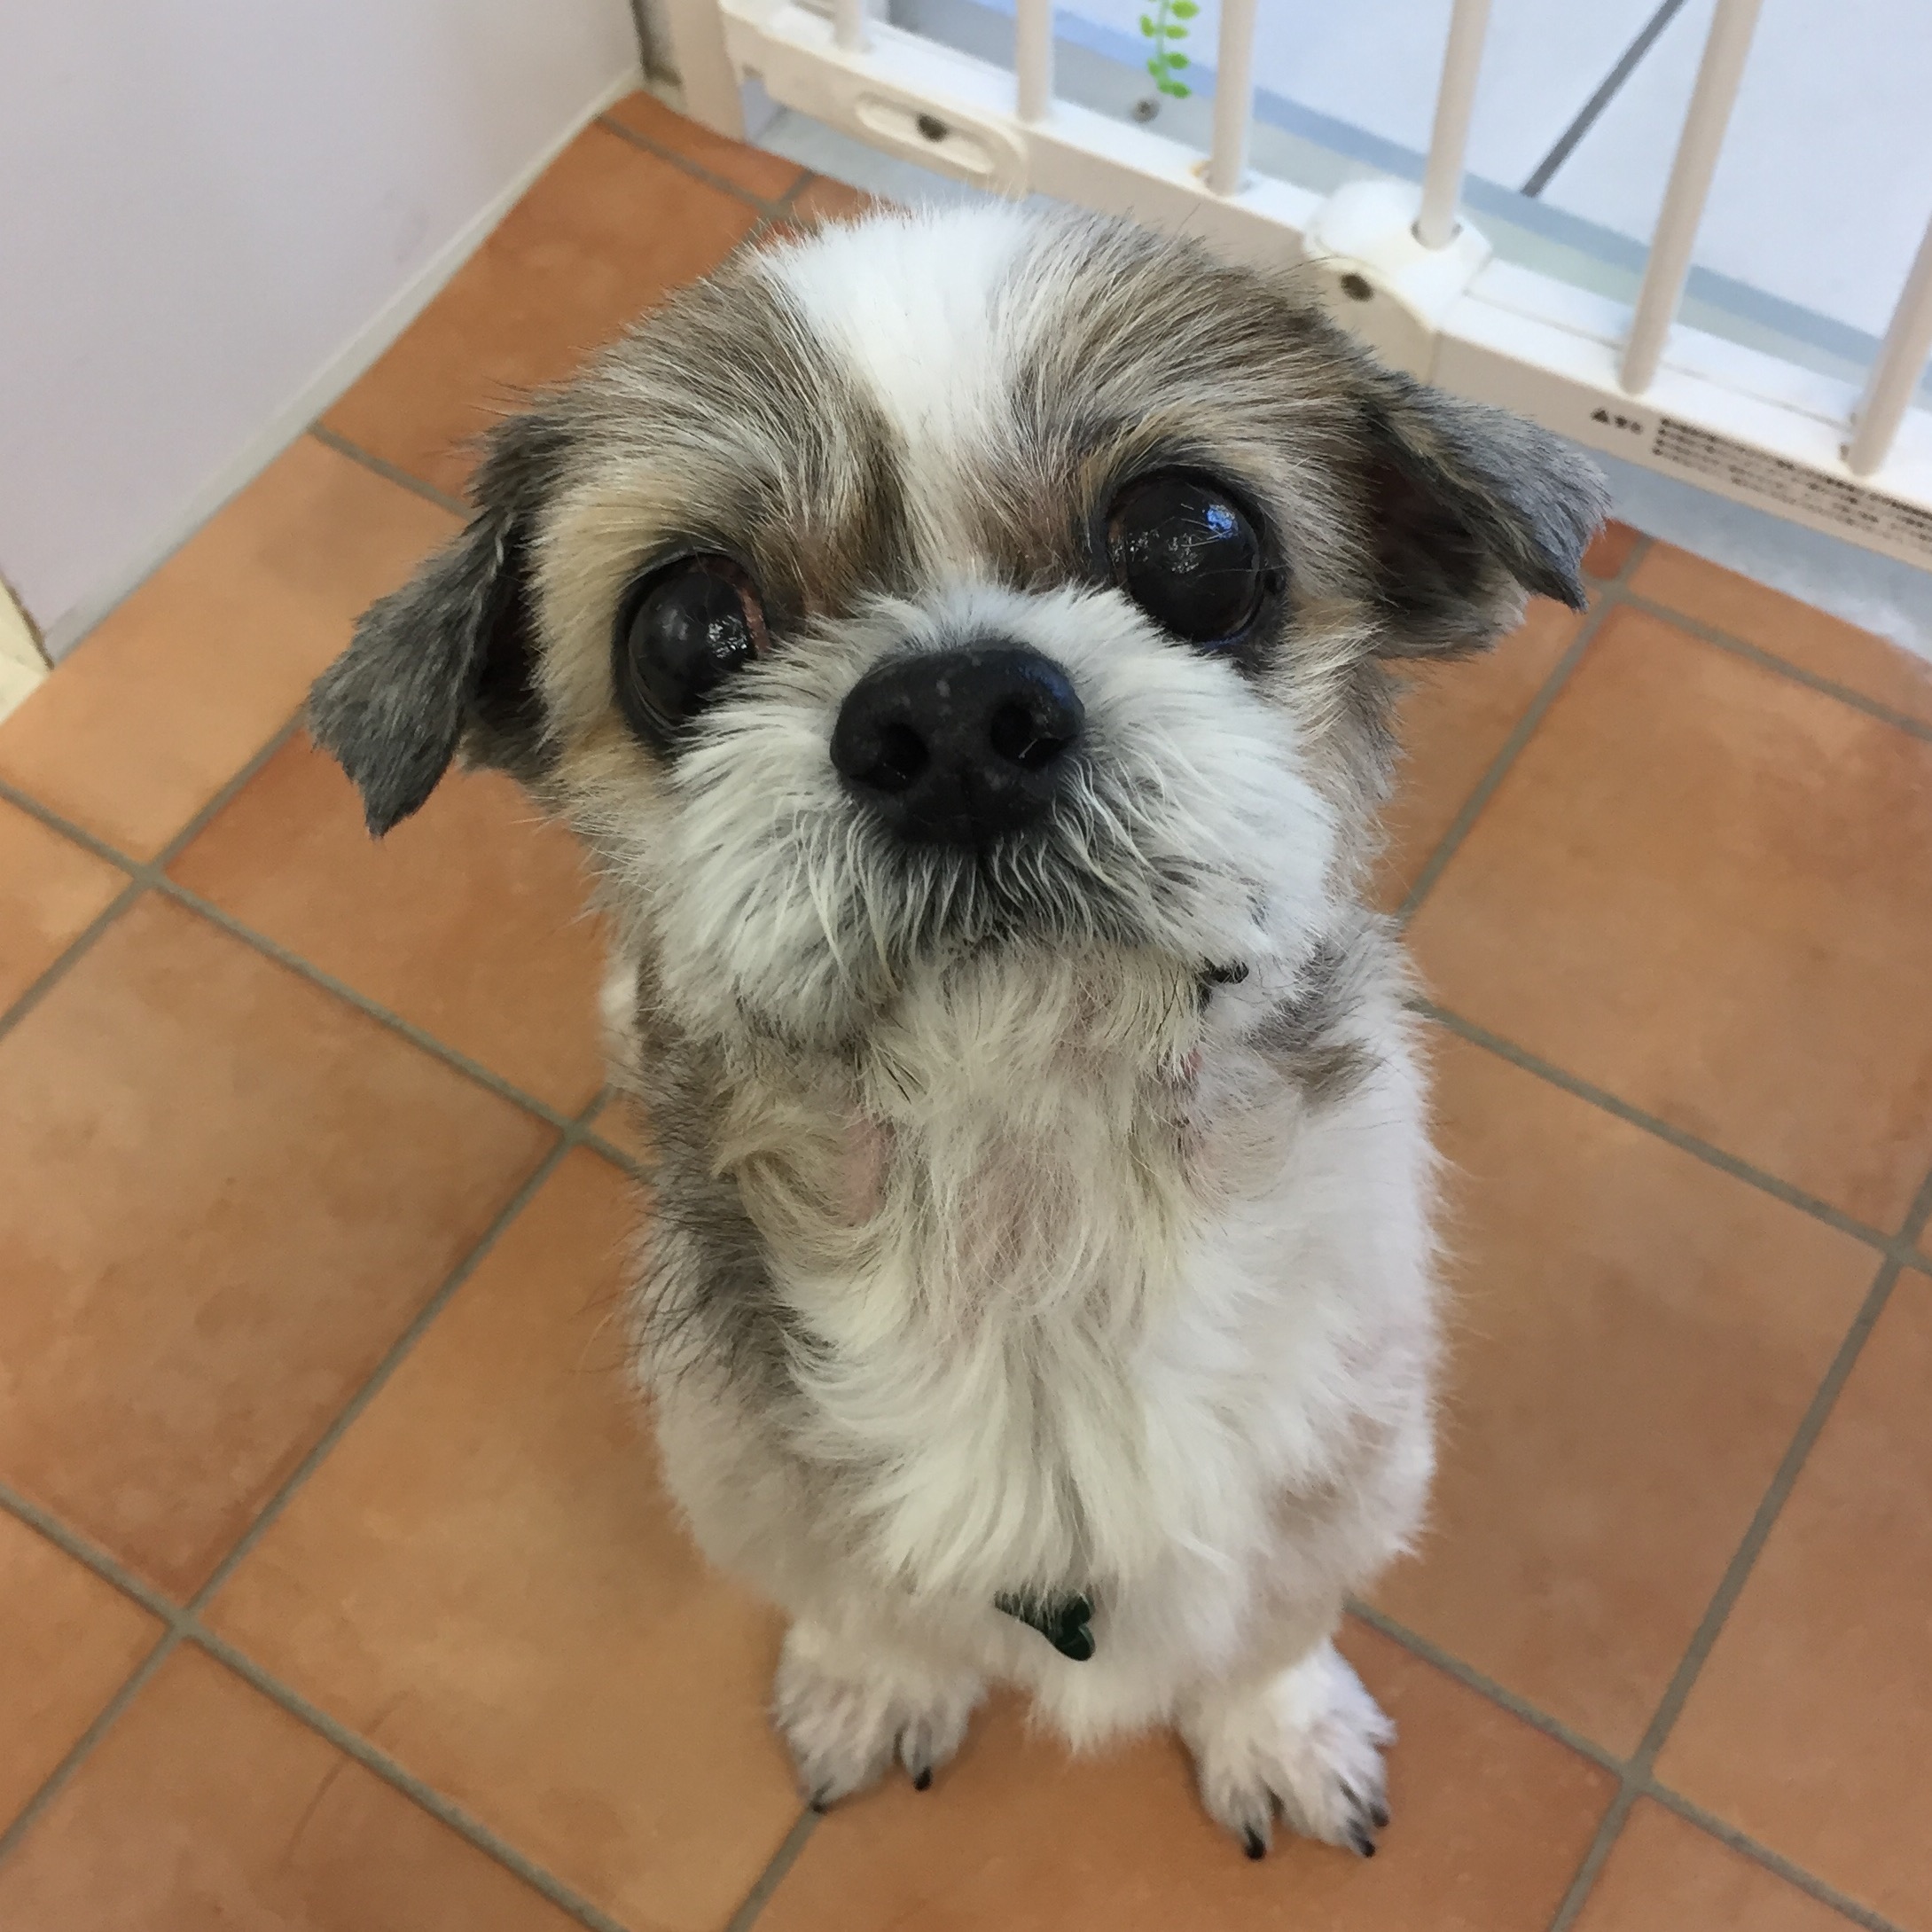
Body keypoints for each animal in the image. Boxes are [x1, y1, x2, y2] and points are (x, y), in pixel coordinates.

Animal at [310, 202, 1605, 1859]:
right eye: (684, 627)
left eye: (1196, 539)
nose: (949, 717)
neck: (1029, 1220)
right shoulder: (748, 1480)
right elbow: (866, 1610)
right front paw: (872, 1685)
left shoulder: (1342, 1460)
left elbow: (1267, 1625)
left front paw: (1278, 1727)